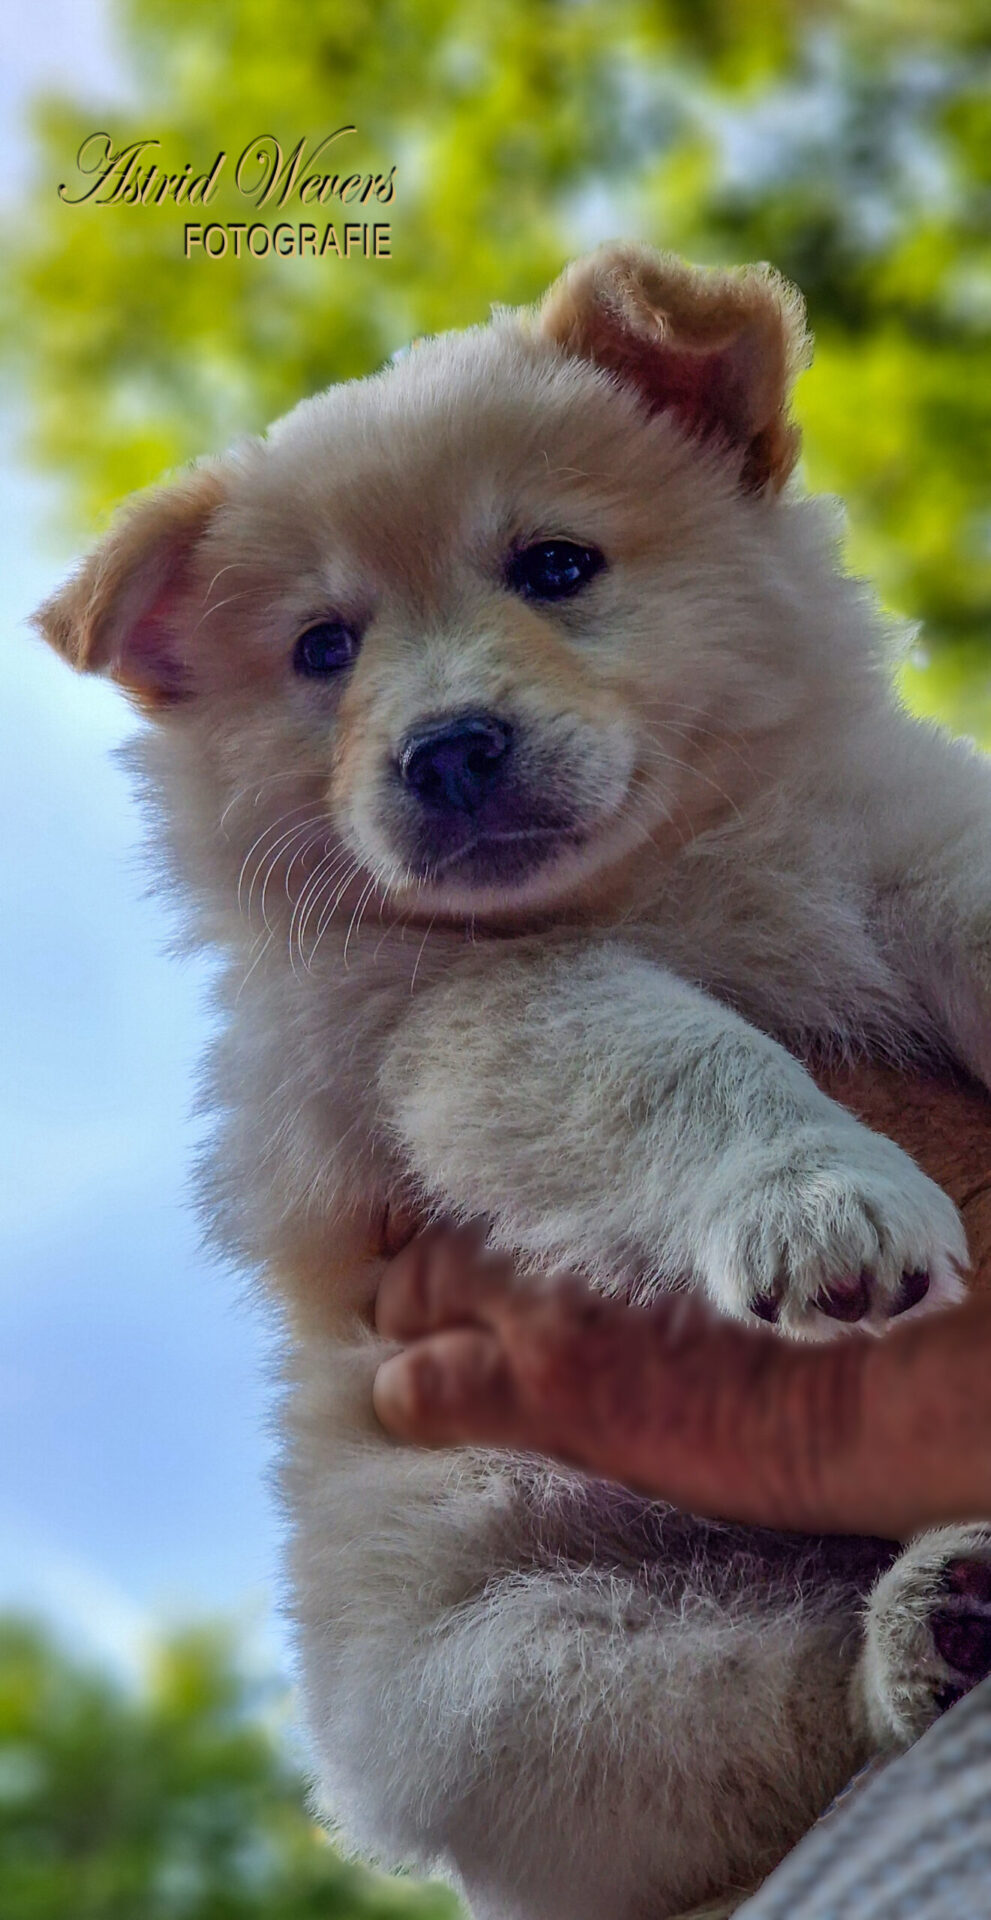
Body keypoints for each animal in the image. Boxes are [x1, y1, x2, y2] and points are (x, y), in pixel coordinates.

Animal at [34, 251, 991, 1920]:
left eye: (554, 566)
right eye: (323, 649)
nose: (446, 750)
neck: (673, 863)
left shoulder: (895, 846)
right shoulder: (459, 1022)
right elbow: (676, 1060)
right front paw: (821, 1203)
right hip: (500, 1682)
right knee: (770, 1700)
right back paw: (924, 1626)